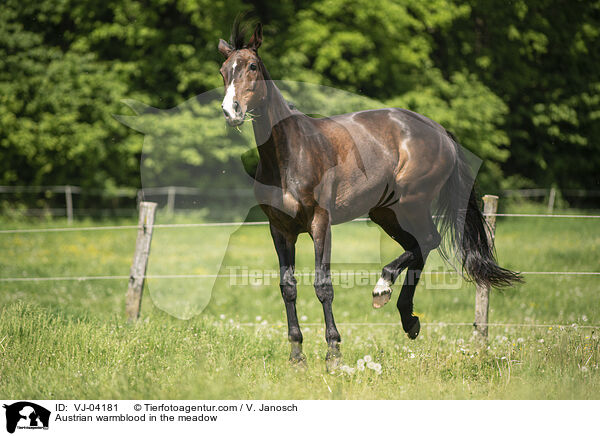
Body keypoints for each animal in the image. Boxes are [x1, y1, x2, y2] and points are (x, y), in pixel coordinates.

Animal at [217, 20, 520, 368]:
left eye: (252, 66)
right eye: (224, 70)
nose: (231, 111)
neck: (288, 154)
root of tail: (438, 130)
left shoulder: (320, 223)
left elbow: (323, 285)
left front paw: (333, 352)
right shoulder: (280, 229)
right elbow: (287, 287)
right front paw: (297, 356)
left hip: (411, 203)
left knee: (427, 241)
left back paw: (383, 288)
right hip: (384, 213)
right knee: (419, 246)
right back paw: (407, 318)